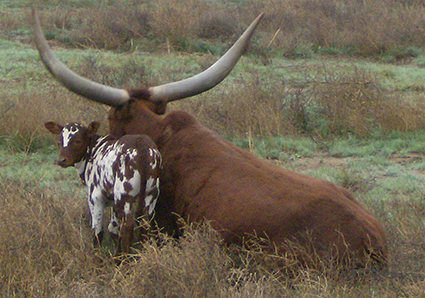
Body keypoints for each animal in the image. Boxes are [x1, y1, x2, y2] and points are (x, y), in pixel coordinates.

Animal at [44, 121, 161, 254]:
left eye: (78, 141)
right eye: (60, 140)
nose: (61, 160)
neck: (94, 152)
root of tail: (142, 146)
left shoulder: (95, 199)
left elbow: (97, 232)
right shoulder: (113, 202)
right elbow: (113, 229)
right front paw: (117, 257)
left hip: (124, 197)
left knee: (128, 226)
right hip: (150, 194)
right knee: (144, 223)